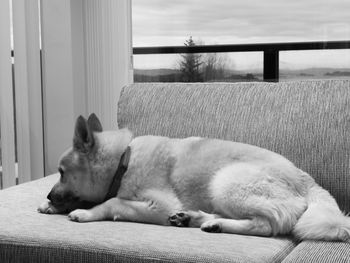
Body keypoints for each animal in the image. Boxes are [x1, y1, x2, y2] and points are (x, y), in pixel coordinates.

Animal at [38, 114, 350, 242]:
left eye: (62, 173)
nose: (49, 195)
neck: (122, 162)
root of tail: (308, 180)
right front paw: (49, 207)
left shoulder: (159, 205)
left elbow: (112, 202)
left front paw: (86, 212)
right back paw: (195, 218)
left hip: (225, 183)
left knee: (265, 225)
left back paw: (213, 223)